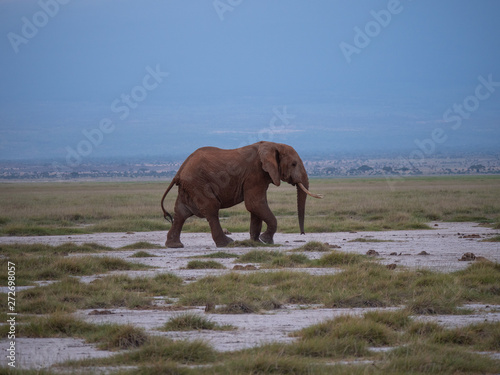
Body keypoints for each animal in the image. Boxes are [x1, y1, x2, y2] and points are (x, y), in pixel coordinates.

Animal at [161, 140, 324, 248]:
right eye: (294, 164)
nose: (302, 234)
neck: (272, 144)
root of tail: (179, 171)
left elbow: (256, 207)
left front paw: (256, 242)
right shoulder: (255, 173)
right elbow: (255, 204)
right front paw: (266, 240)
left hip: (189, 187)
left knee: (181, 212)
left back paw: (174, 245)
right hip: (199, 185)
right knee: (211, 209)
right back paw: (226, 244)